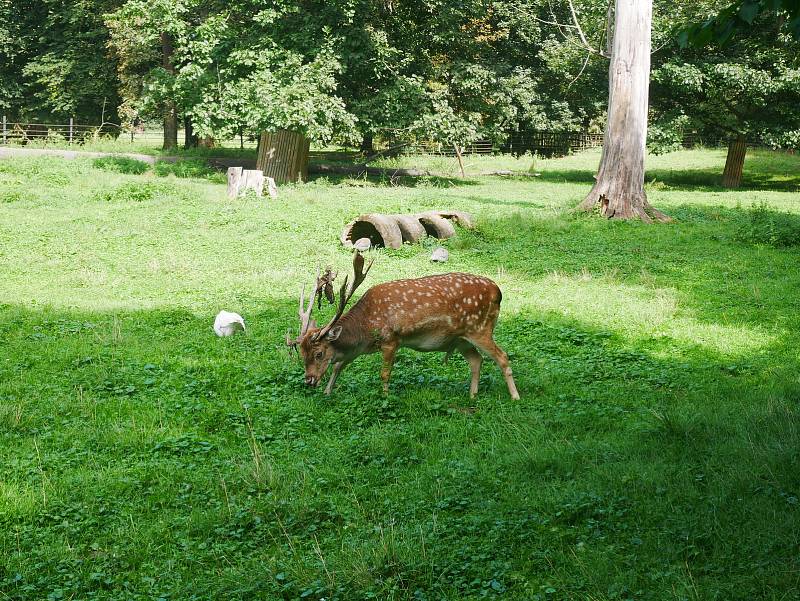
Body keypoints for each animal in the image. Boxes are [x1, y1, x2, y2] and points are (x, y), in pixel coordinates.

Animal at [286, 252, 520, 398]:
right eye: (302, 353)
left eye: (318, 353)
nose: (309, 380)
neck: (365, 328)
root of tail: (498, 292)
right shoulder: (356, 349)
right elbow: (338, 365)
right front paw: (328, 392)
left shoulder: (391, 339)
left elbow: (384, 373)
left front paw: (385, 397)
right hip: (461, 338)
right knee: (476, 360)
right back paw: (472, 396)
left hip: (480, 328)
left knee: (502, 356)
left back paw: (515, 397)